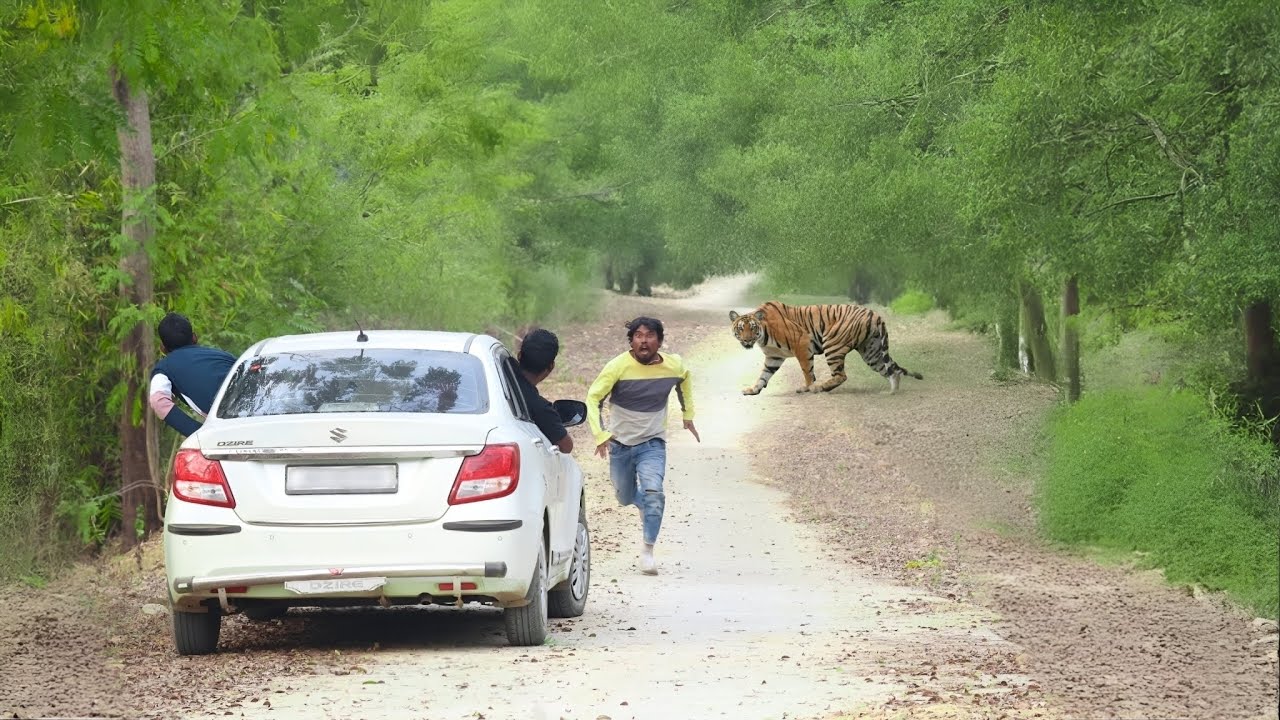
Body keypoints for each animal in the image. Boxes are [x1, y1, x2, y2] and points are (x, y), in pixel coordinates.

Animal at [729, 301, 923, 395]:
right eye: (741, 329)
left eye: (752, 328)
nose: (746, 340)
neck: (763, 335)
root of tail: (874, 313)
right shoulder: (774, 357)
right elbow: (764, 375)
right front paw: (753, 390)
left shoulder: (802, 344)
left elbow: (807, 371)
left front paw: (808, 387)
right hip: (872, 352)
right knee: (892, 371)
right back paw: (891, 392)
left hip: (833, 345)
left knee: (841, 375)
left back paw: (819, 388)